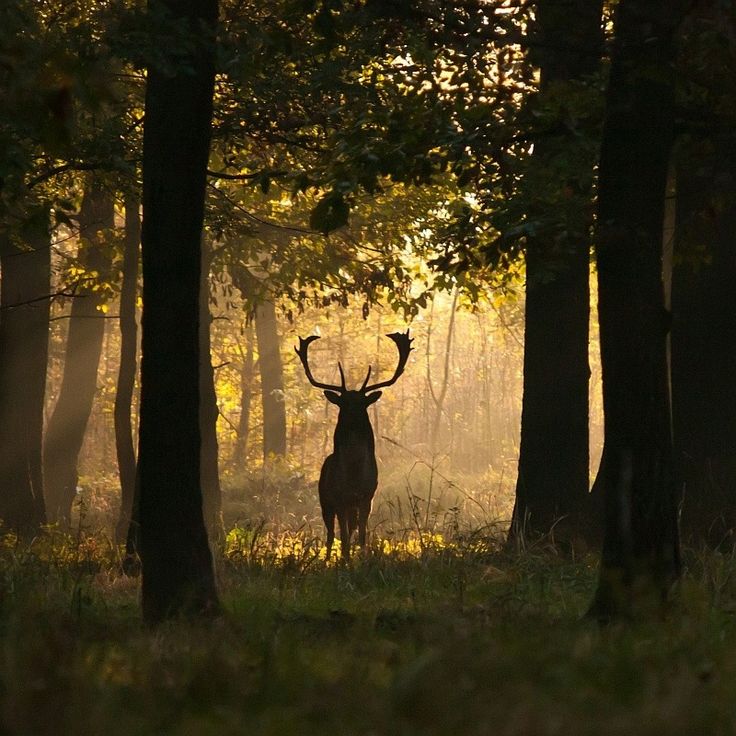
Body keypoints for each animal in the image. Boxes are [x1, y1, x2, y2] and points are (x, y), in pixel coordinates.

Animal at [298, 330, 414, 556]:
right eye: (343, 402)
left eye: (362, 402)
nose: (352, 416)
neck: (353, 473)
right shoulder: (339, 498)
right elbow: (342, 538)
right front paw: (345, 559)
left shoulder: (366, 497)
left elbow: (361, 536)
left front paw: (362, 557)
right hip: (324, 499)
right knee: (330, 535)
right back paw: (328, 558)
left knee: (349, 530)